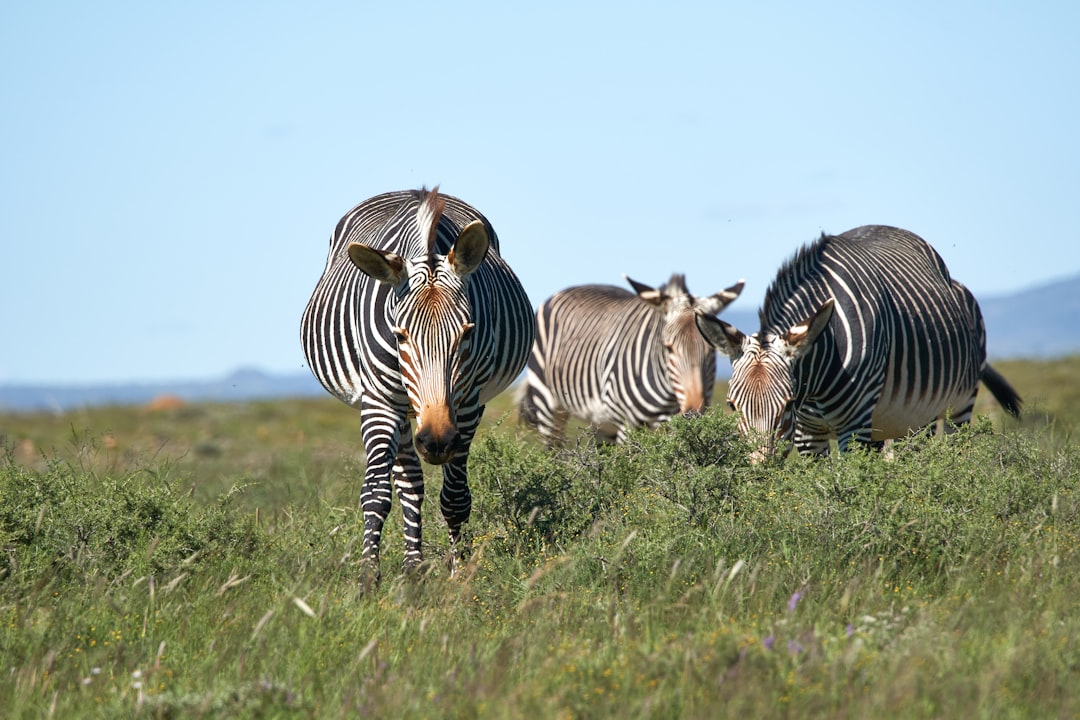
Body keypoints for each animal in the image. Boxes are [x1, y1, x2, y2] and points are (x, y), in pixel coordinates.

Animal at [298, 187, 533, 578]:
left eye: (467, 333)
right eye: (400, 335)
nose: (437, 441)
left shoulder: (468, 405)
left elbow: (455, 498)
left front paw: (458, 574)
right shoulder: (379, 402)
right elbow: (376, 493)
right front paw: (368, 577)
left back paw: (414, 570)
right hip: (399, 409)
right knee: (409, 481)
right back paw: (412, 567)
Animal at [518, 274, 747, 444]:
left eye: (711, 351)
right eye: (668, 348)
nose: (693, 414)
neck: (668, 396)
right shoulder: (628, 424)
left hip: (601, 421)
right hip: (548, 406)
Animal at [691, 225, 1019, 459]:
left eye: (788, 403)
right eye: (732, 406)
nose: (761, 471)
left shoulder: (855, 424)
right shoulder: (808, 433)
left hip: (959, 404)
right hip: (910, 417)